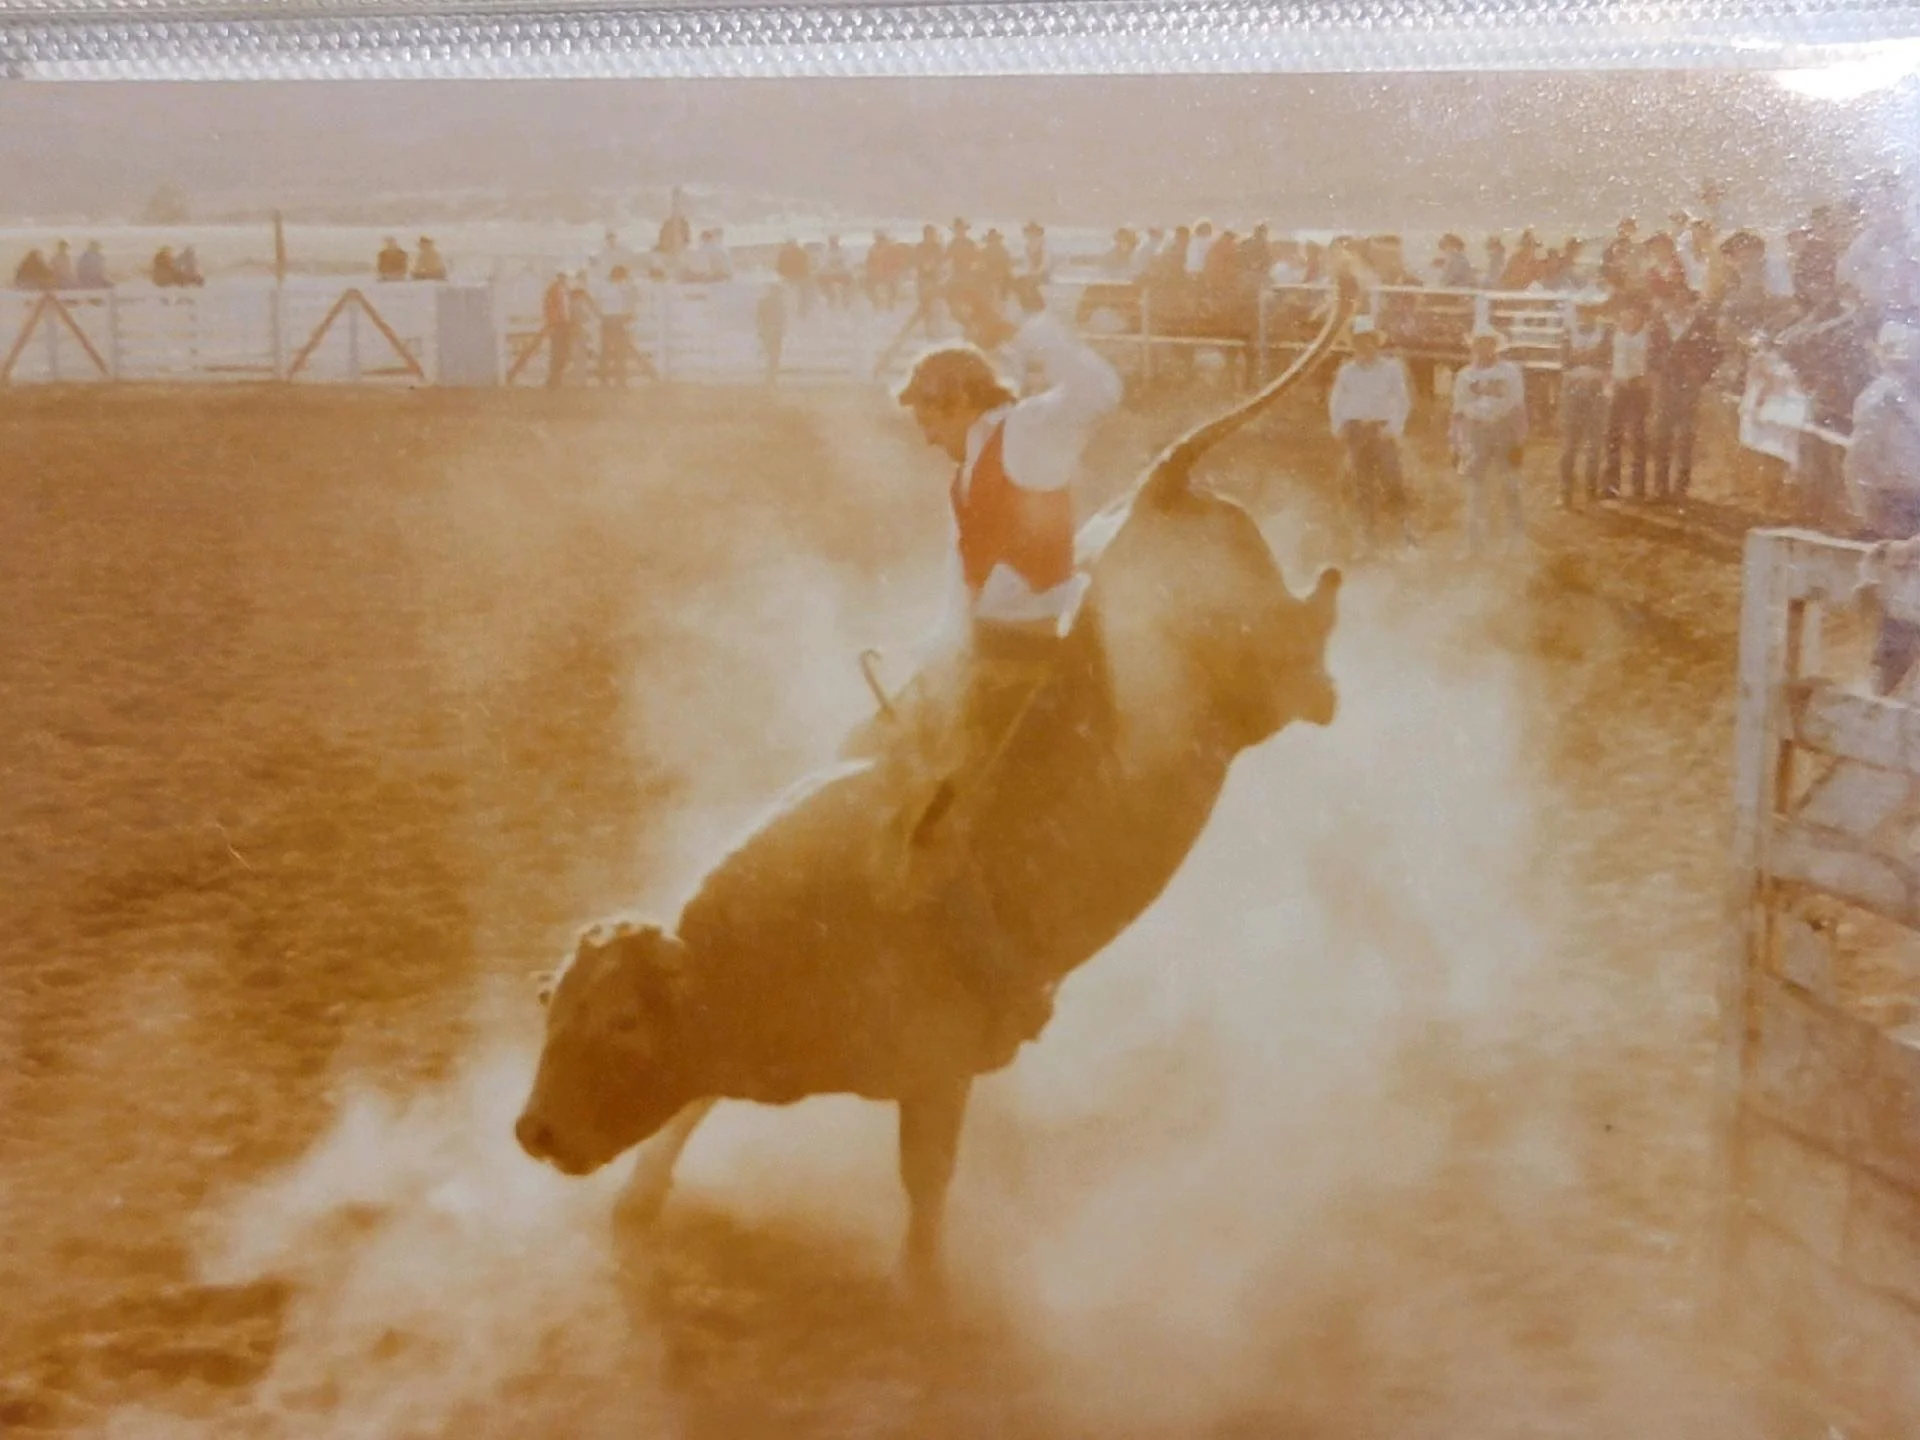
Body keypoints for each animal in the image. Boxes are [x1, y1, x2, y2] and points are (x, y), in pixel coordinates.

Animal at [514, 280, 1358, 1295]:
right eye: (554, 1003)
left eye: (623, 1019)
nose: (534, 1131)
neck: (774, 949)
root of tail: (1161, 483)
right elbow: (690, 1105)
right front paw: (640, 1199)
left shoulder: (934, 1072)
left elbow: (923, 1179)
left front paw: (921, 1286)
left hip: (1248, 679)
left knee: (1296, 651)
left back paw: (1328, 632)